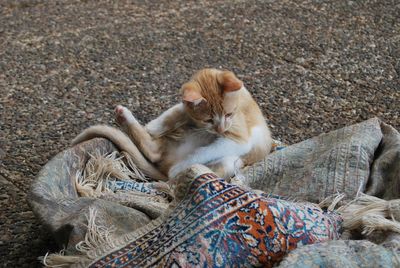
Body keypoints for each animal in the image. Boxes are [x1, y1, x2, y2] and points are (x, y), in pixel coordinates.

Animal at [72, 69, 272, 181]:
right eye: (208, 120)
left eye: (229, 114)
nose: (221, 129)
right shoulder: (186, 111)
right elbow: (174, 112)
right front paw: (152, 126)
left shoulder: (238, 140)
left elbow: (203, 152)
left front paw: (180, 169)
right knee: (154, 152)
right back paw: (124, 116)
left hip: (230, 162)